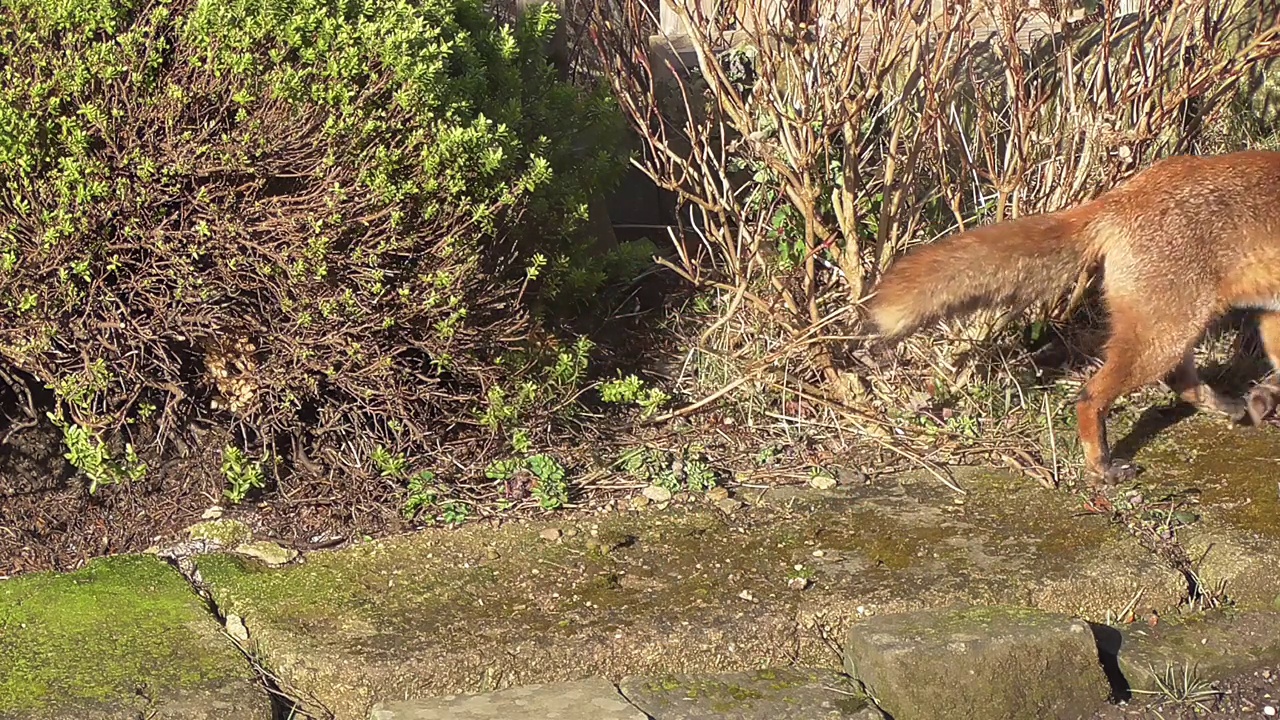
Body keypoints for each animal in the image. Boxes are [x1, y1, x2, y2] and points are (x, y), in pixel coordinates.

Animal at [865, 148, 1280, 484]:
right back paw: (1102, 468)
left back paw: (1228, 406)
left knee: (1178, 378)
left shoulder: (1272, 316)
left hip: (1171, 328)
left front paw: (1266, 398)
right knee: (1091, 396)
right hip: (1165, 334)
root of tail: (1126, 193)